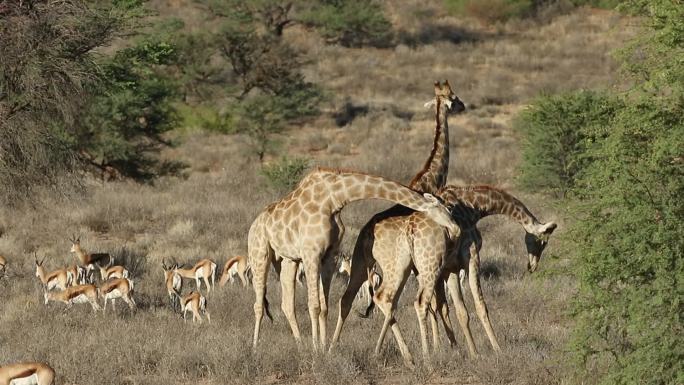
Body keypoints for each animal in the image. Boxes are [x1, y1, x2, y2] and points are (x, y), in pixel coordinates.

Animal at [246, 166, 460, 352]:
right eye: (444, 209)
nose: (456, 229)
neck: (334, 199)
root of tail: (254, 224)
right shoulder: (311, 253)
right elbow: (314, 306)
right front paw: (316, 349)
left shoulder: (329, 255)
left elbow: (324, 307)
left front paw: (323, 347)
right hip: (260, 253)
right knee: (258, 304)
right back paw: (255, 347)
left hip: (287, 260)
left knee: (287, 304)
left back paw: (299, 345)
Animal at [330, 81, 464, 364]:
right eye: (454, 97)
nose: (464, 105)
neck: (430, 178)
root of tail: (366, 233)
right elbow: (433, 304)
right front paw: (440, 347)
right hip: (395, 265)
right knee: (385, 299)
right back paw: (408, 355)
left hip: (363, 264)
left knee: (350, 299)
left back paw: (335, 348)